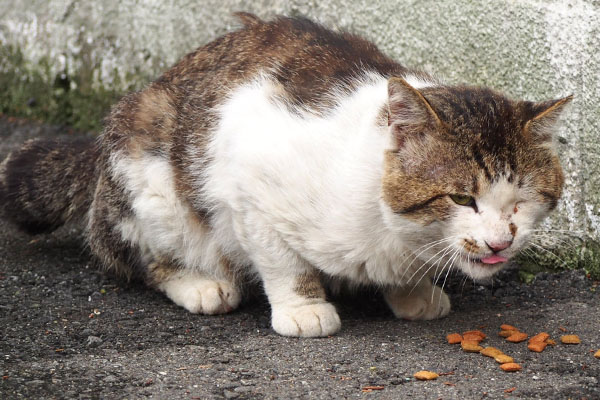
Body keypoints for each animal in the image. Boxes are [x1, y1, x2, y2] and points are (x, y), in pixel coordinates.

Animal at [0, 13, 572, 338]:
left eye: (522, 200)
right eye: (460, 198)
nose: (500, 242)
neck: (391, 230)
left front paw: (412, 291)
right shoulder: (247, 179)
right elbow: (280, 259)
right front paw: (304, 307)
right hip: (150, 179)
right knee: (136, 258)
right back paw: (200, 283)